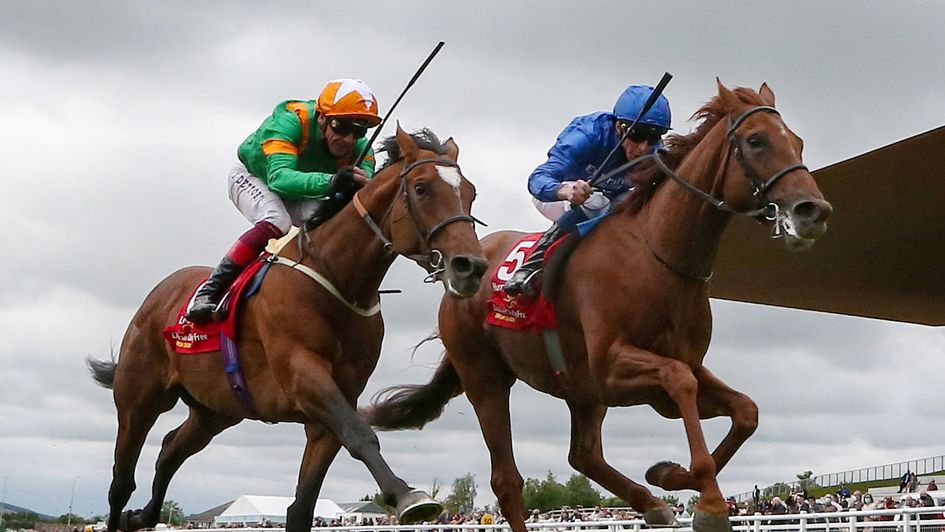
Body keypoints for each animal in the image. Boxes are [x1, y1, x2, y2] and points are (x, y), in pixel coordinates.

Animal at [86, 128, 486, 532]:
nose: (471, 266)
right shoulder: (302, 376)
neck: (336, 278)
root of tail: (160, 293)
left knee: (169, 450)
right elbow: (361, 434)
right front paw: (407, 496)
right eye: (421, 188)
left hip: (214, 410)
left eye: (470, 192)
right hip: (139, 398)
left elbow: (304, 505)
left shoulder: (334, 405)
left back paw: (141, 516)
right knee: (121, 482)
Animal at [366, 82, 828, 532]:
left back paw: (651, 504)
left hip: (581, 390)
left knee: (583, 454)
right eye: (756, 141)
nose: (813, 211)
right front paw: (710, 503)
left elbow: (745, 410)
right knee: (507, 480)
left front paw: (670, 476)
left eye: (799, 143)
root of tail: (459, 278)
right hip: (485, 378)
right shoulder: (611, 364)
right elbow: (680, 381)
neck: (657, 256)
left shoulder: (670, 370)